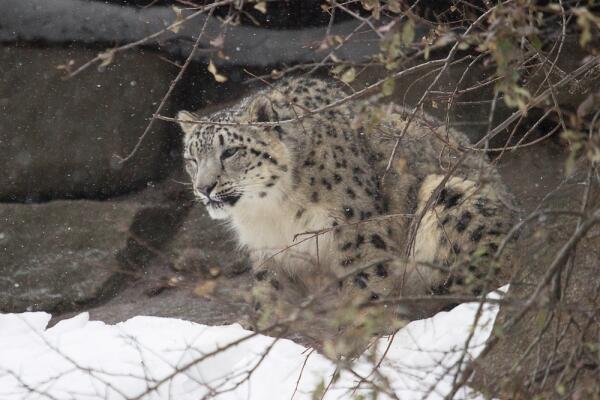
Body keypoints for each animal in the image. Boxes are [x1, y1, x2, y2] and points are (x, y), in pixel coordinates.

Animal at [177, 77, 518, 353]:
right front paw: (262, 332)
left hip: (451, 196)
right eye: (191, 158)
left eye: (230, 152)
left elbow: (364, 282)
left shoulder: (355, 225)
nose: (204, 187)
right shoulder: (268, 250)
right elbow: (270, 291)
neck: (271, 212)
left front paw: (359, 338)